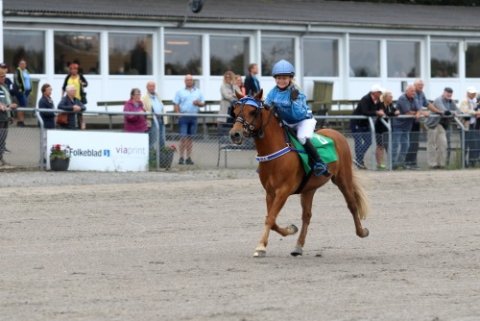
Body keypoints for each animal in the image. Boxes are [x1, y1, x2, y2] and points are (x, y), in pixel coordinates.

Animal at [231, 90, 370, 258]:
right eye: (235, 111)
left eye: (252, 111)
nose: (235, 134)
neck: (276, 152)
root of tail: (336, 133)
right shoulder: (270, 192)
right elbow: (272, 219)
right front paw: (290, 229)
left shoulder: (283, 191)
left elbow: (270, 218)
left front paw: (260, 247)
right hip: (309, 189)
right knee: (307, 216)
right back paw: (298, 246)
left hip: (343, 178)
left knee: (352, 205)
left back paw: (362, 231)